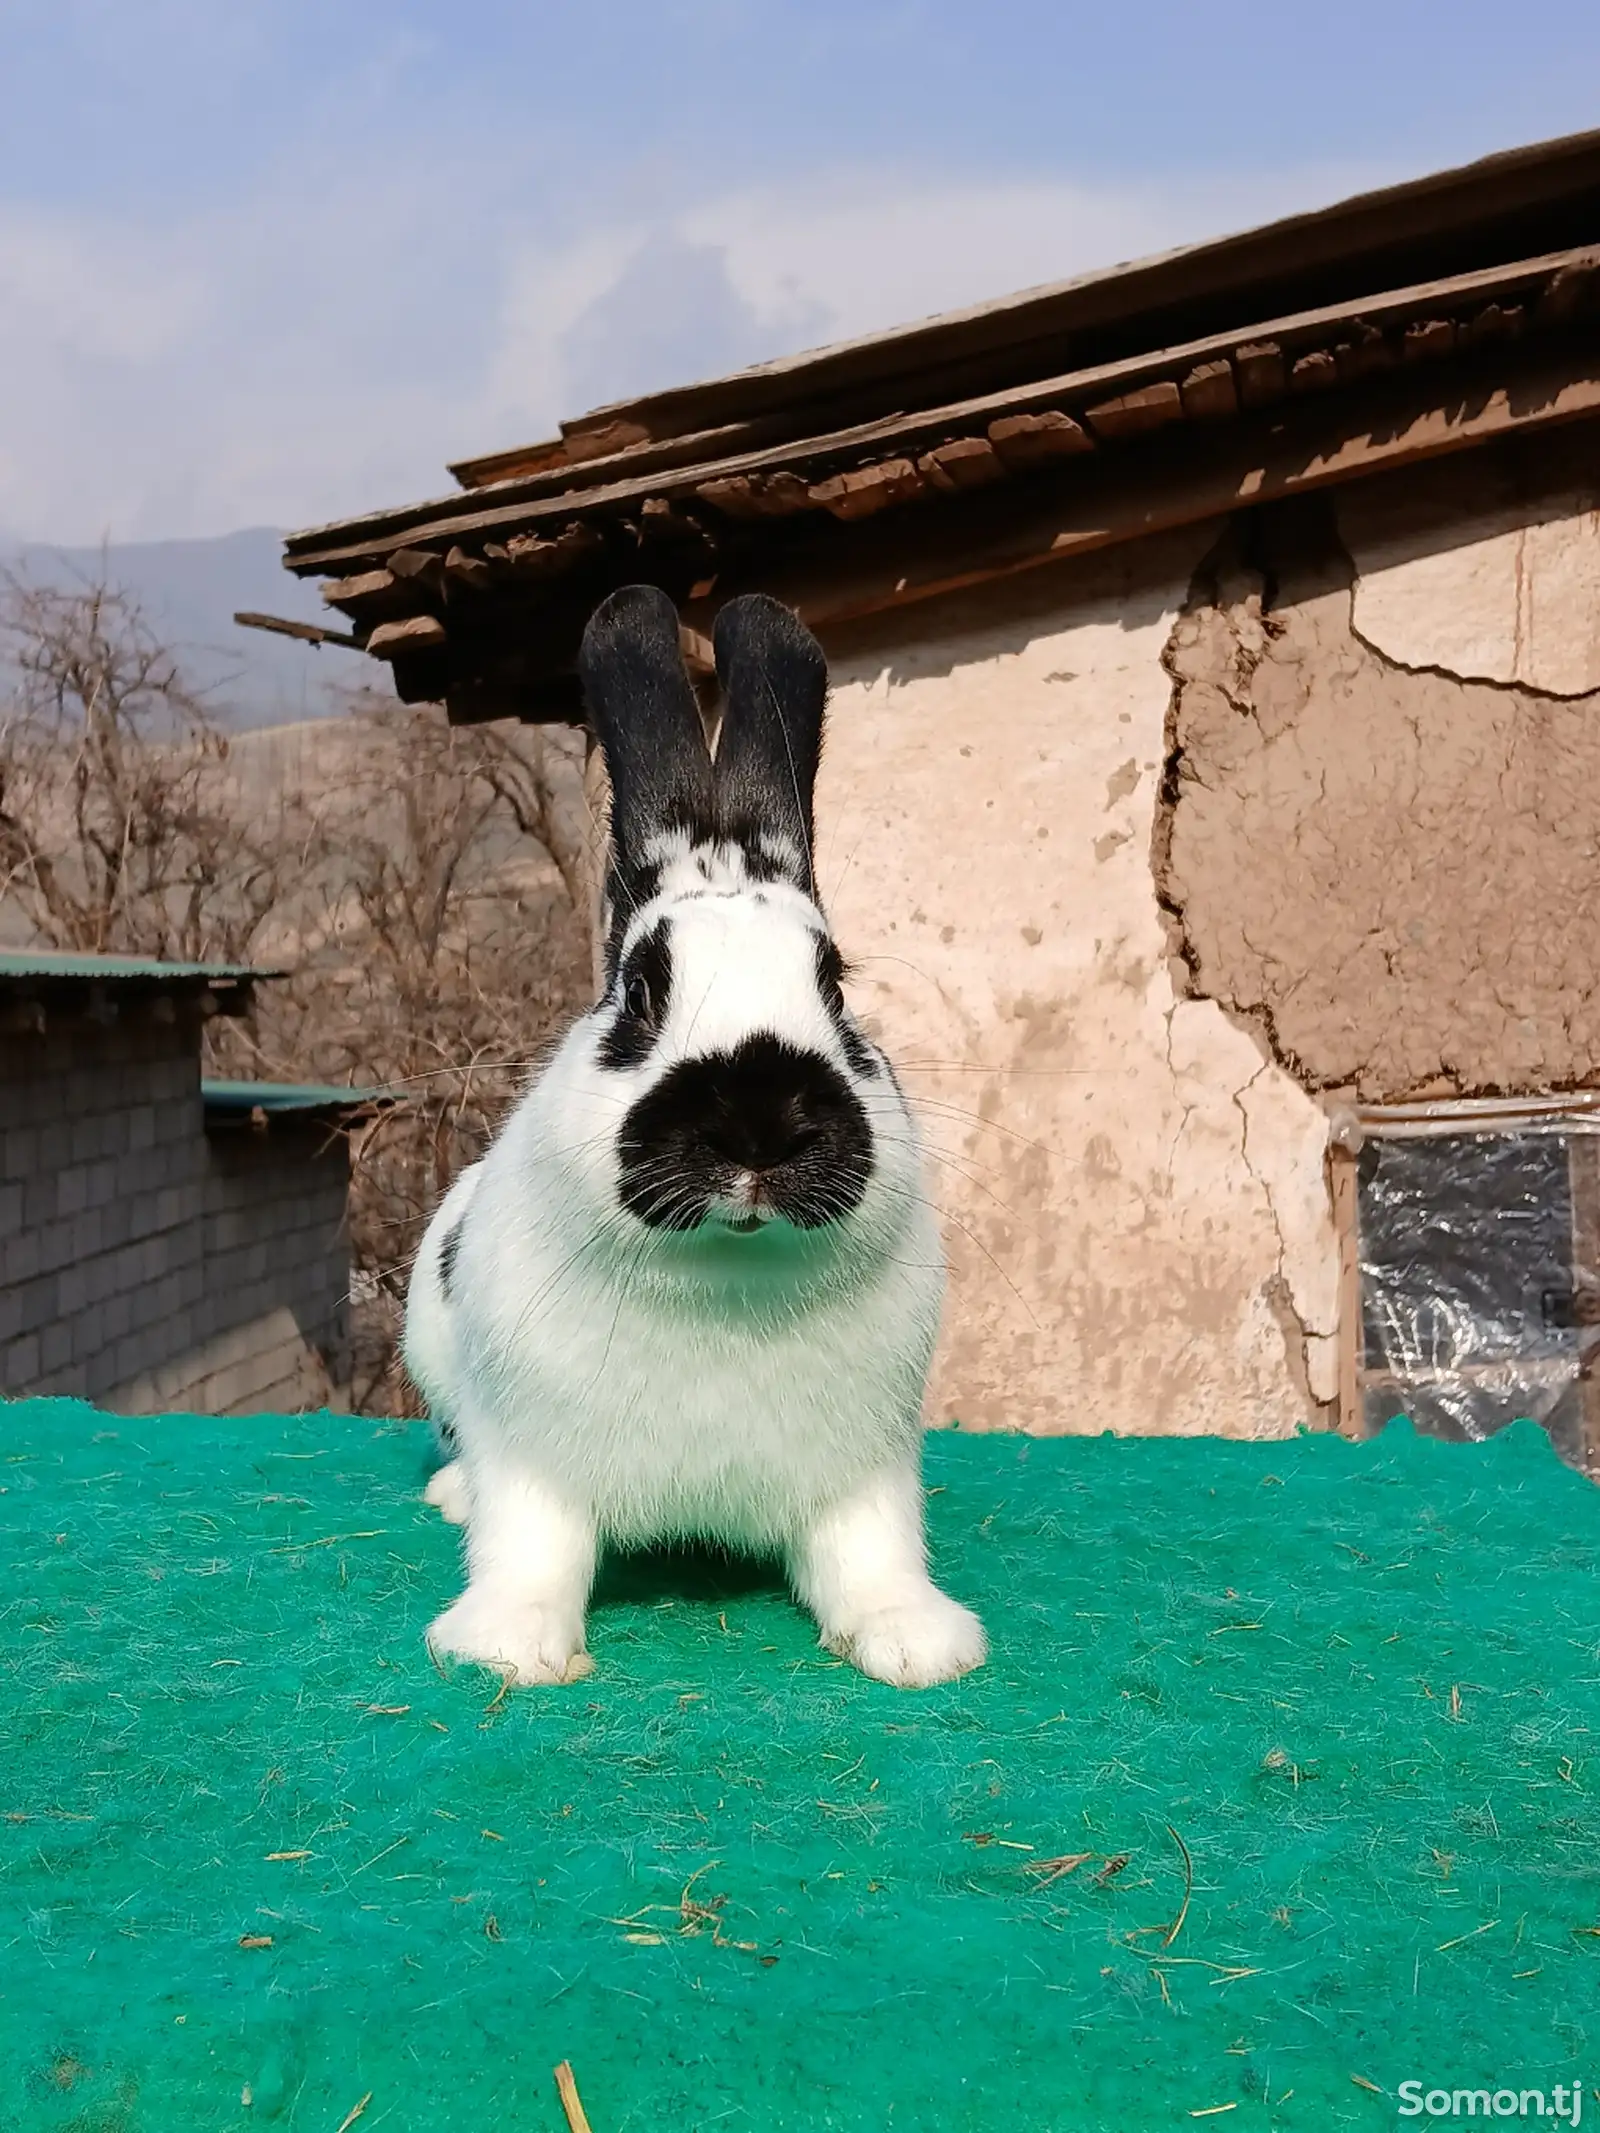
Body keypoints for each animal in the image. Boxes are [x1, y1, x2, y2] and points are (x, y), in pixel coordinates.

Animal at [401, 584, 989, 1680]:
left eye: (835, 983)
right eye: (639, 990)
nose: (757, 1122)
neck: (726, 1283)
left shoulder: (863, 1471)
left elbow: (870, 1553)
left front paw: (916, 1642)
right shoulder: (532, 1458)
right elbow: (531, 1545)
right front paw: (508, 1648)